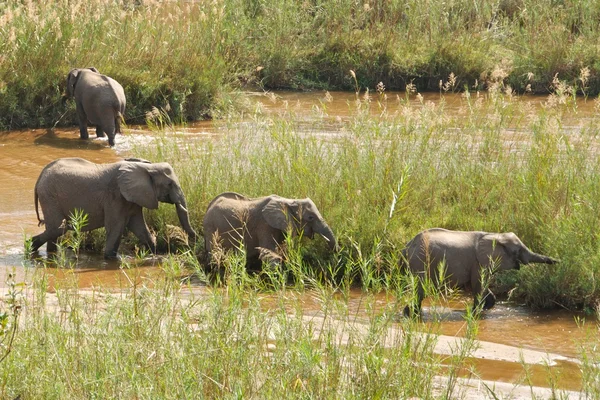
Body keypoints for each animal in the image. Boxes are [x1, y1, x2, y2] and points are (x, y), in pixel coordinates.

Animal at [31, 158, 197, 258]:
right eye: (169, 184)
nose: (193, 242)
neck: (147, 167)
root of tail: (39, 177)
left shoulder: (133, 198)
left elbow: (139, 227)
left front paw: (154, 252)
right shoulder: (115, 196)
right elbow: (116, 227)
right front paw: (111, 258)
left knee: (55, 231)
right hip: (50, 196)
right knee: (58, 228)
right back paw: (32, 245)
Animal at [203, 191, 338, 268]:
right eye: (310, 217)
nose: (334, 254)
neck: (288, 201)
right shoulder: (265, 225)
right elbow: (269, 255)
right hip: (211, 227)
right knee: (215, 254)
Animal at [400, 230, 560, 318]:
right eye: (517, 251)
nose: (557, 261)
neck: (496, 235)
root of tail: (407, 246)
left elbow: (483, 287)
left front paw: (483, 309)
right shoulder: (478, 262)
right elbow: (478, 285)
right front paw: (474, 314)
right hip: (420, 260)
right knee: (420, 289)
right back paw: (410, 314)